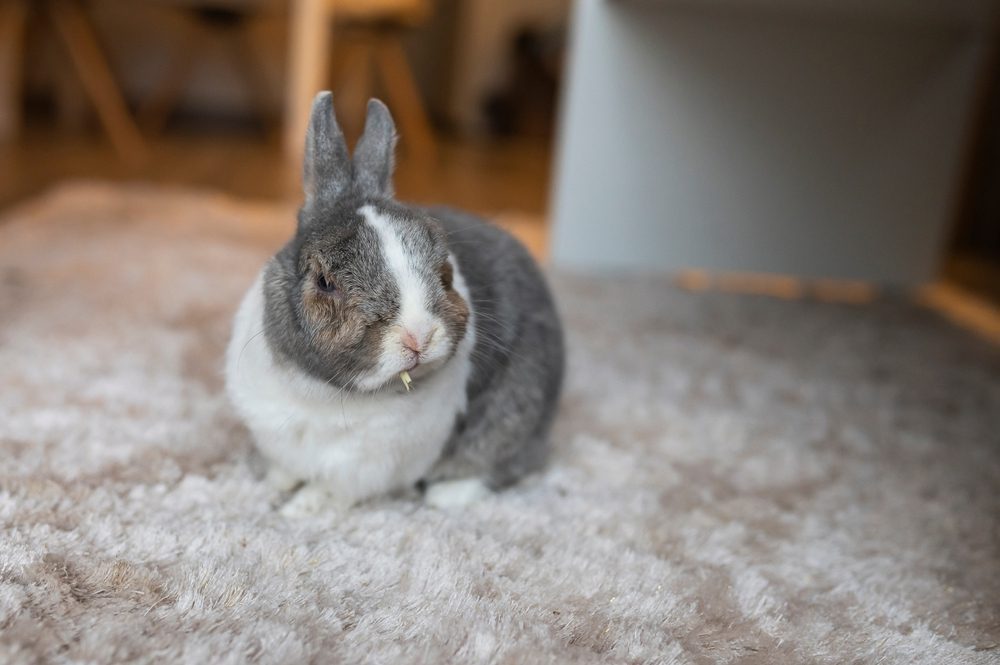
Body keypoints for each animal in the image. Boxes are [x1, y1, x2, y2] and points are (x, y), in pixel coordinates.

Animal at [225, 92, 564, 516]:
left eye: (444, 270)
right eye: (324, 282)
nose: (419, 336)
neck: (328, 392)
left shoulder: (362, 468)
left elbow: (332, 490)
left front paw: (298, 508)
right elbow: (285, 468)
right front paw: (274, 484)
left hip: (512, 416)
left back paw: (445, 496)